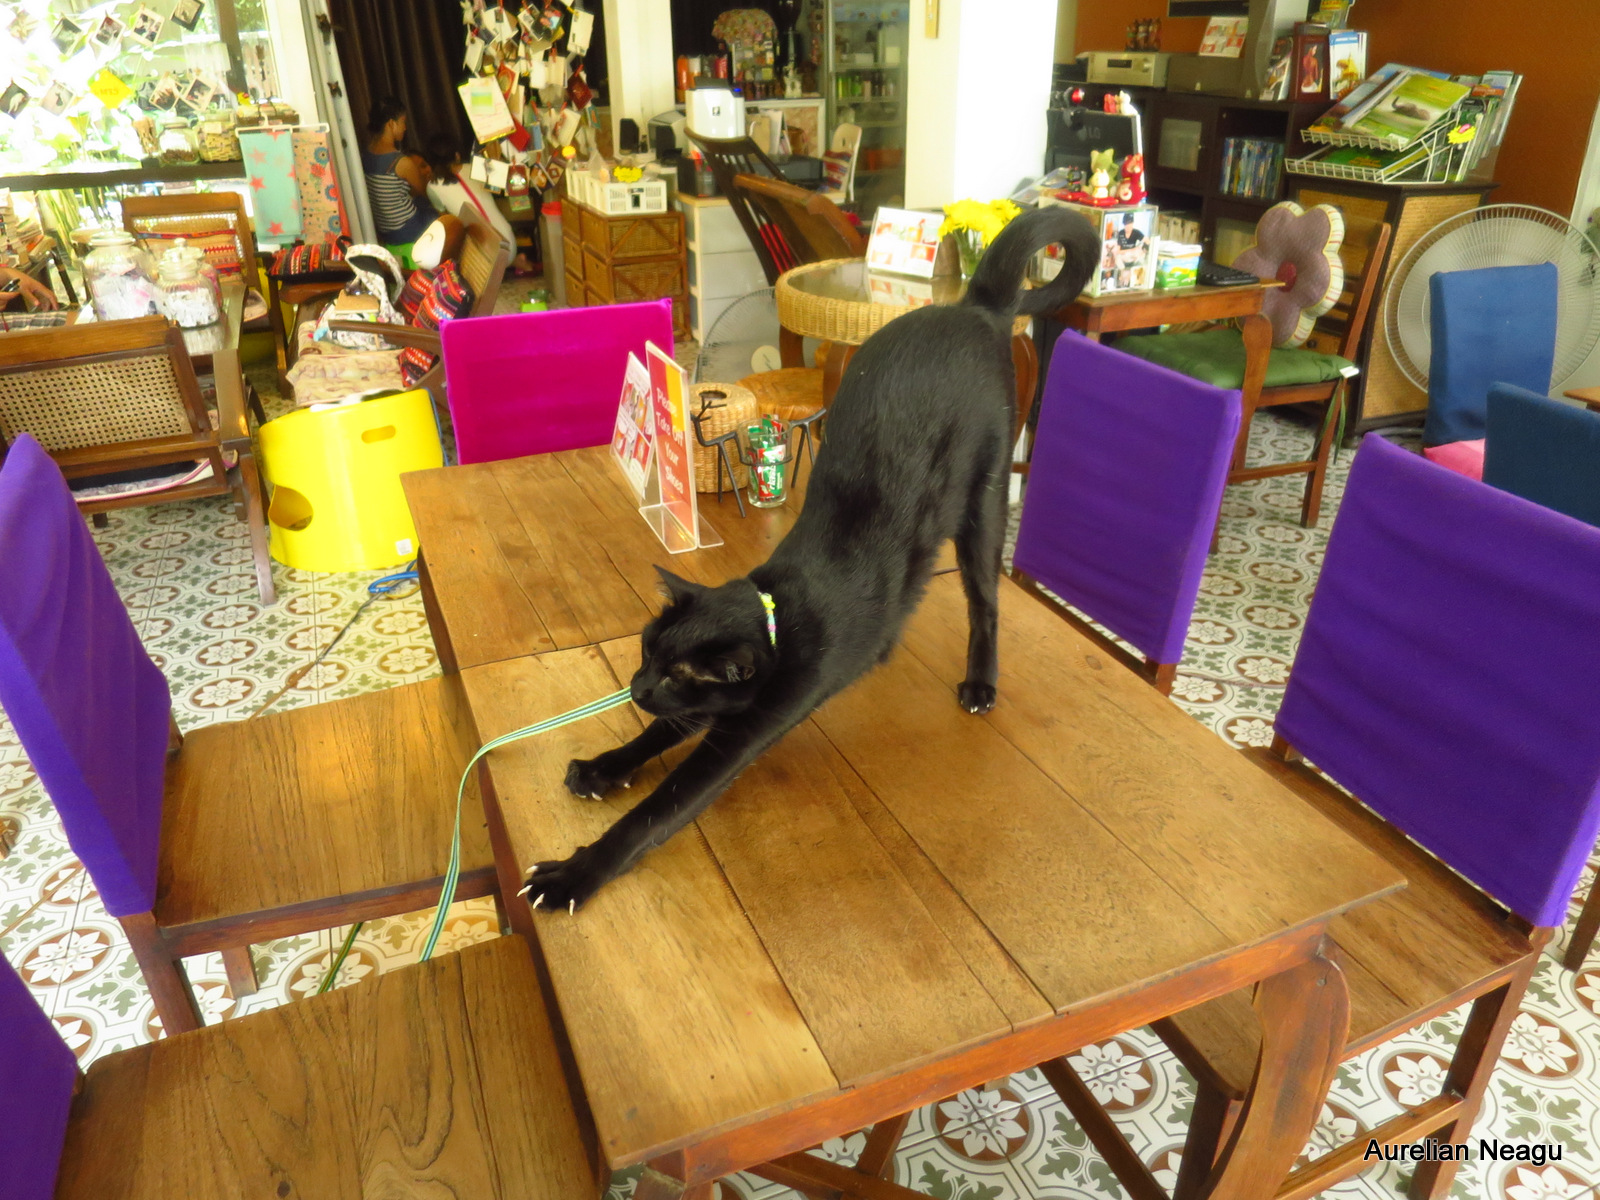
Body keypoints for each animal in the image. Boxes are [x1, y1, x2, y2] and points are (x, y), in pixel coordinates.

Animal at [523, 206, 1100, 912]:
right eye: (645, 653)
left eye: (674, 674)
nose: (634, 687)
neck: (779, 610)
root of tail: (975, 306)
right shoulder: (718, 711)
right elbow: (657, 735)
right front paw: (605, 766)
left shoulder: (748, 726)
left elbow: (654, 813)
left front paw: (572, 875)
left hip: (984, 500)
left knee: (986, 603)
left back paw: (981, 684)